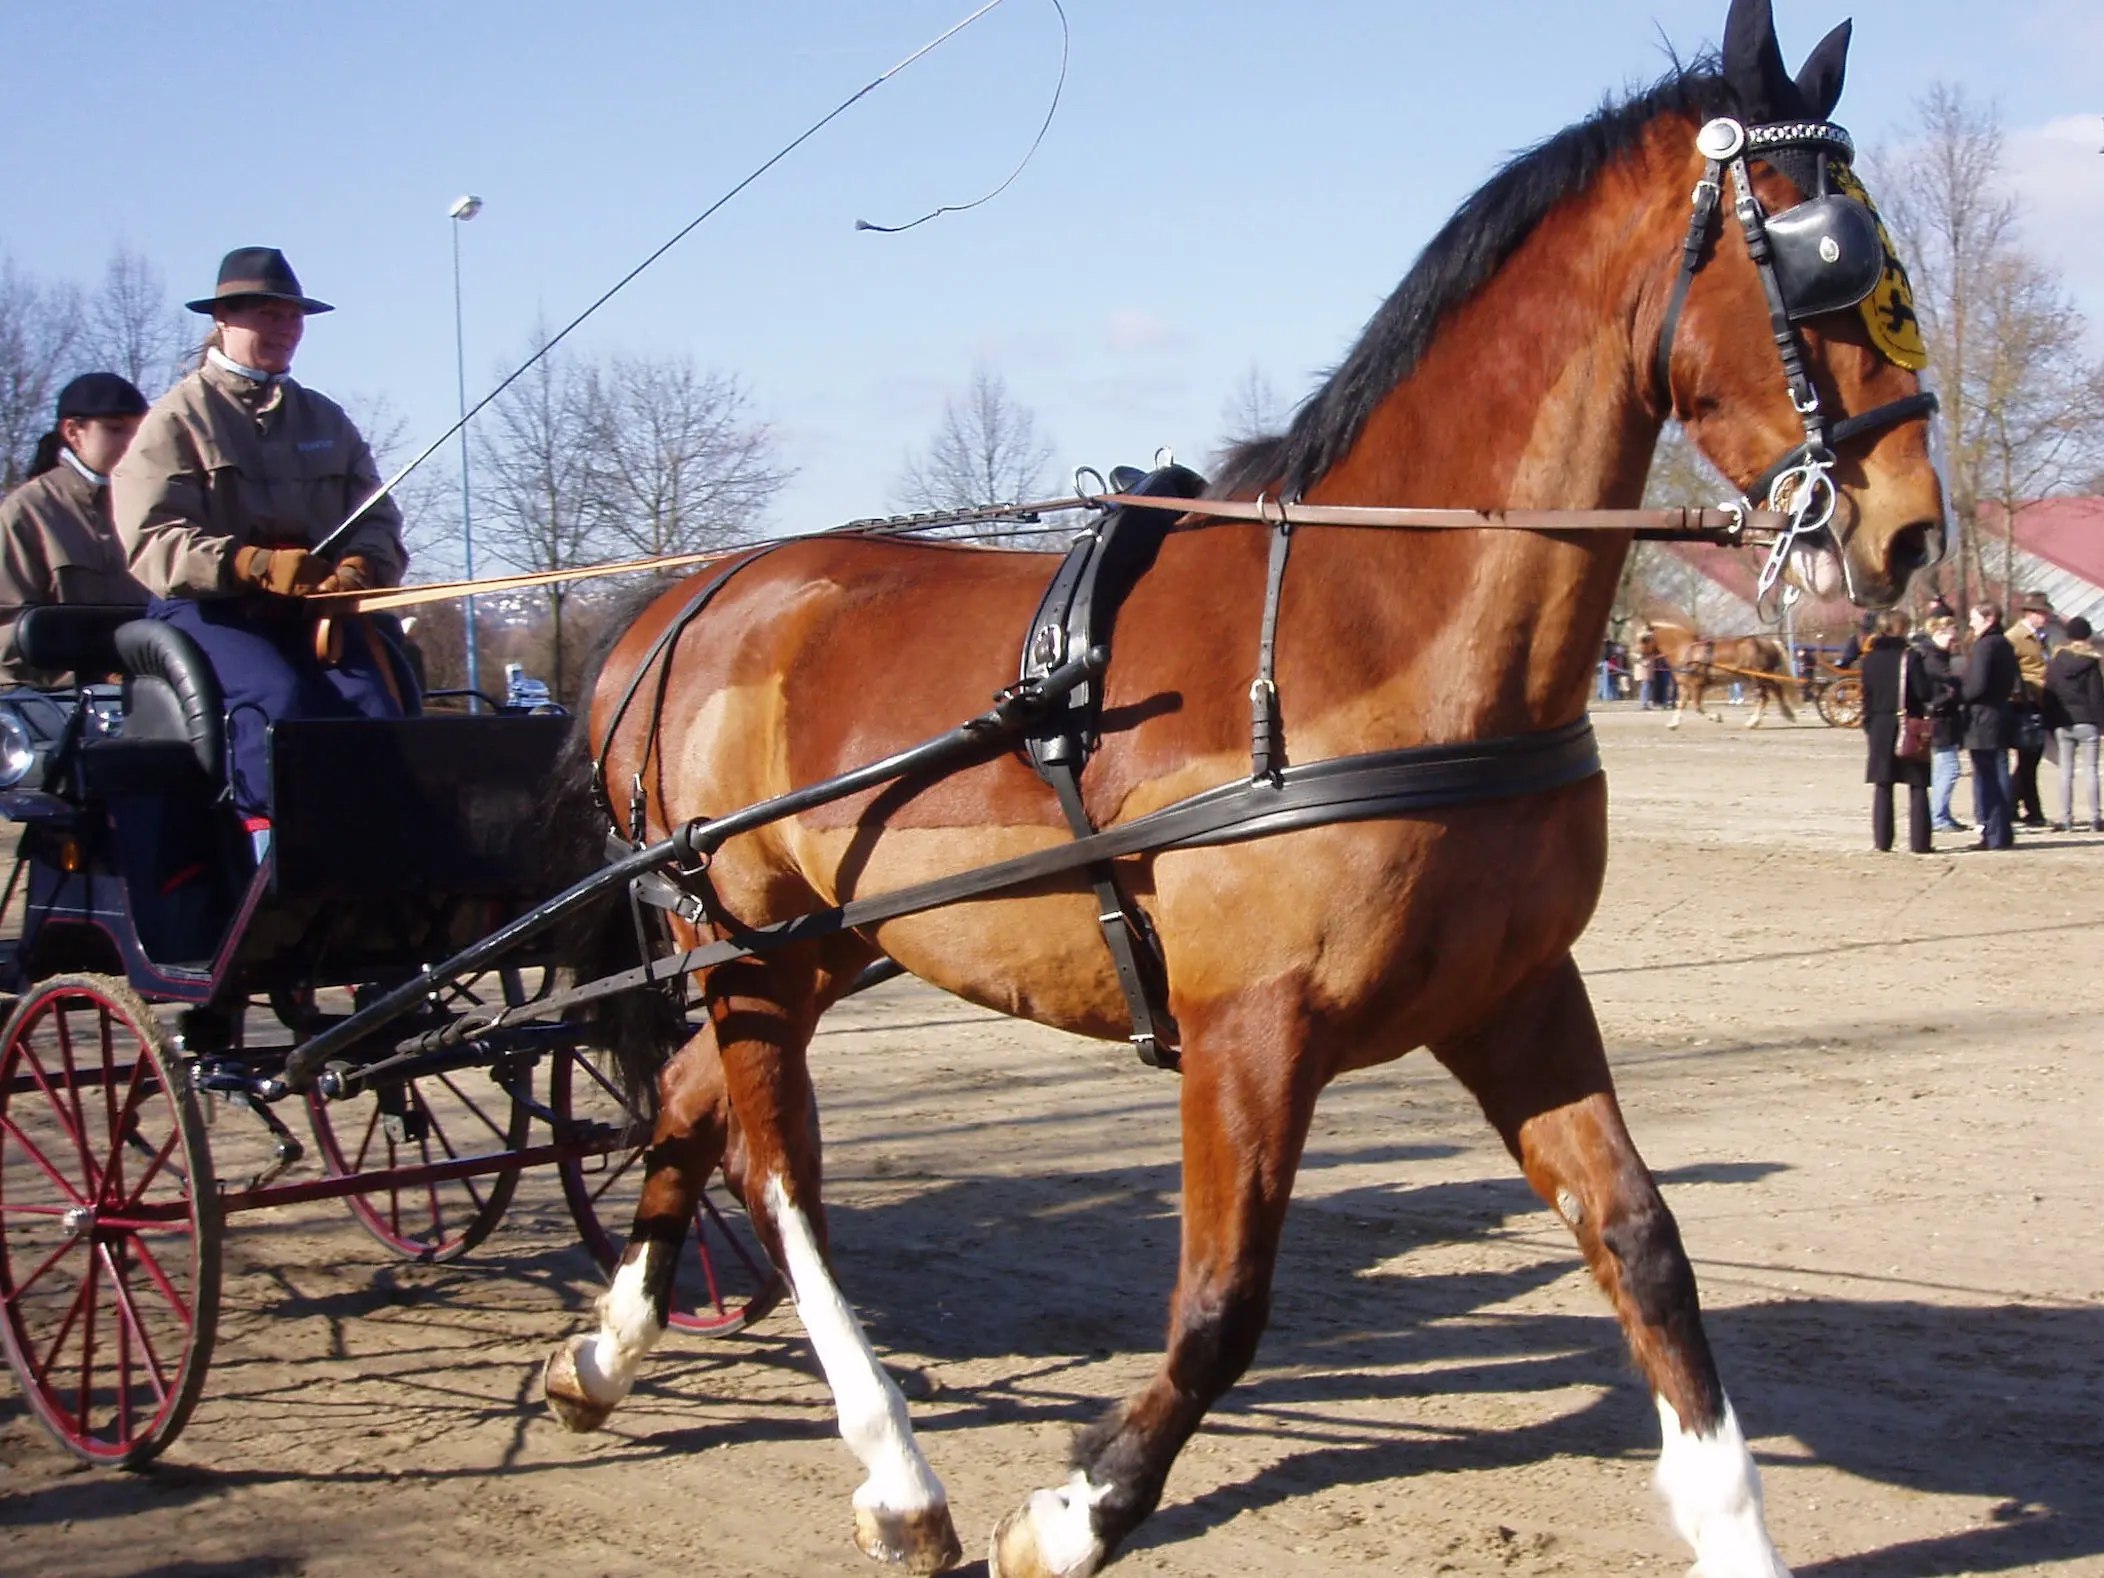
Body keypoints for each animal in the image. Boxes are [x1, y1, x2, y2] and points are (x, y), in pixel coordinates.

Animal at [1641, 618, 1809, 727]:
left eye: (1644, 639)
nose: (1639, 657)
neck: (1687, 651)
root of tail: (1770, 643)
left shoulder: (1696, 685)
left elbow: (1697, 706)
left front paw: (1717, 717)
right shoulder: (1684, 685)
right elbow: (1681, 704)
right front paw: (1674, 723)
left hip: (1757, 677)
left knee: (1765, 697)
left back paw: (1753, 722)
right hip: (1764, 677)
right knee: (1777, 690)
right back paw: (1788, 714)